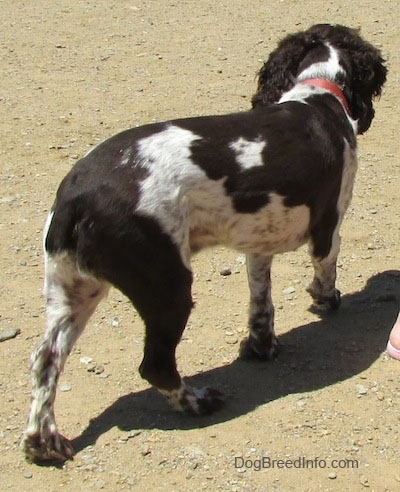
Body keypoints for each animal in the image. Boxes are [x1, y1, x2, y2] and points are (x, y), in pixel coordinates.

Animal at [22, 23, 388, 462]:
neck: (317, 94)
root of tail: (74, 199)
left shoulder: (258, 243)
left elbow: (261, 303)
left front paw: (262, 346)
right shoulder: (328, 226)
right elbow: (325, 273)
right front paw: (326, 300)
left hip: (74, 291)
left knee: (45, 360)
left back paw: (42, 441)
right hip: (168, 287)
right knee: (154, 364)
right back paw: (196, 402)